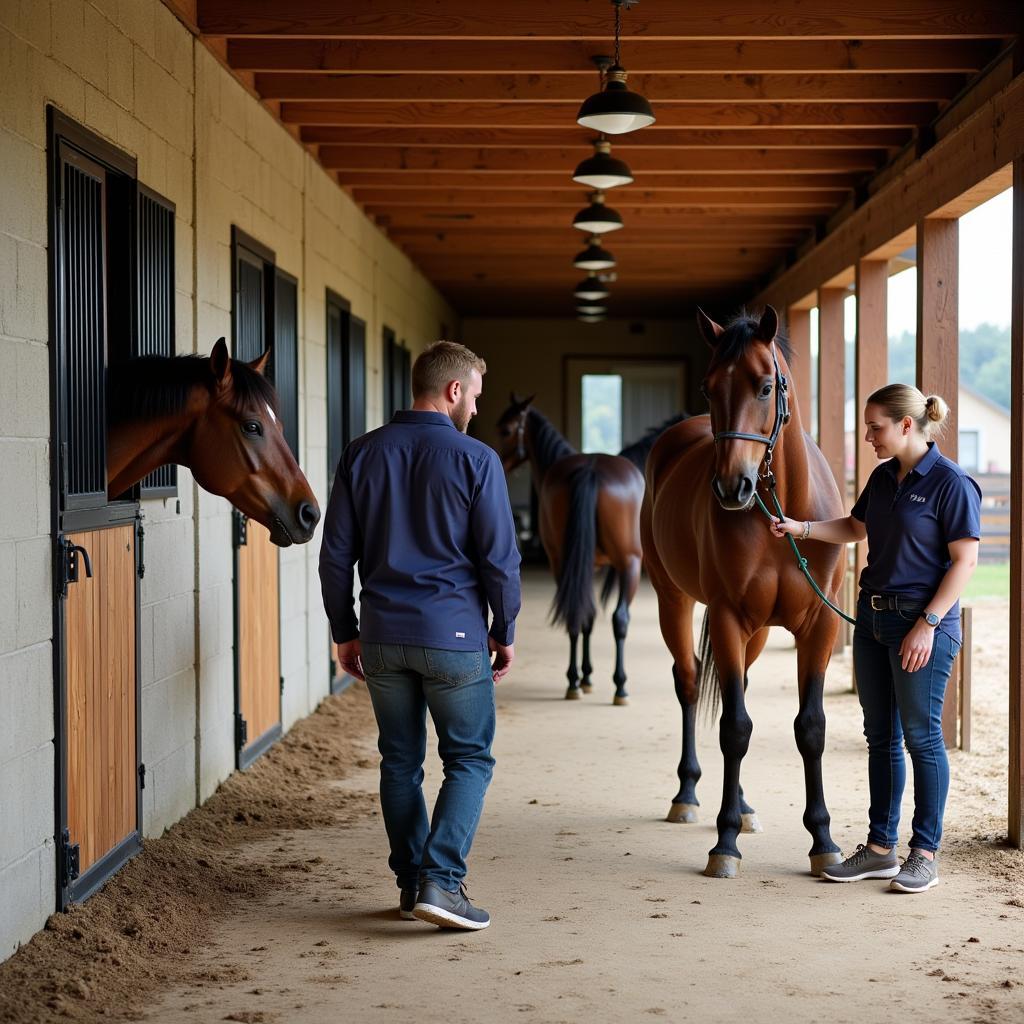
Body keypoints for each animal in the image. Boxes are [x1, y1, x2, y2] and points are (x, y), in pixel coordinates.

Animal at [493, 393, 638, 704]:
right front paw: (586, 677)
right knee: (616, 618)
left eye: (506, 430)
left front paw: (585, 677)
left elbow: (587, 617)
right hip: (626, 564)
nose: (501, 461)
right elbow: (589, 617)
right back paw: (614, 685)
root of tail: (591, 469)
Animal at [643, 307, 843, 876]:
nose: (733, 487)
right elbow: (734, 727)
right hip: (674, 601)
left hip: (755, 633)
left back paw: (746, 805)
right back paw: (688, 797)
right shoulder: (729, 617)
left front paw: (823, 841)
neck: (781, 511)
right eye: (709, 388)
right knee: (690, 683)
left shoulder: (819, 626)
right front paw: (724, 842)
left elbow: (810, 727)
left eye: (765, 386)